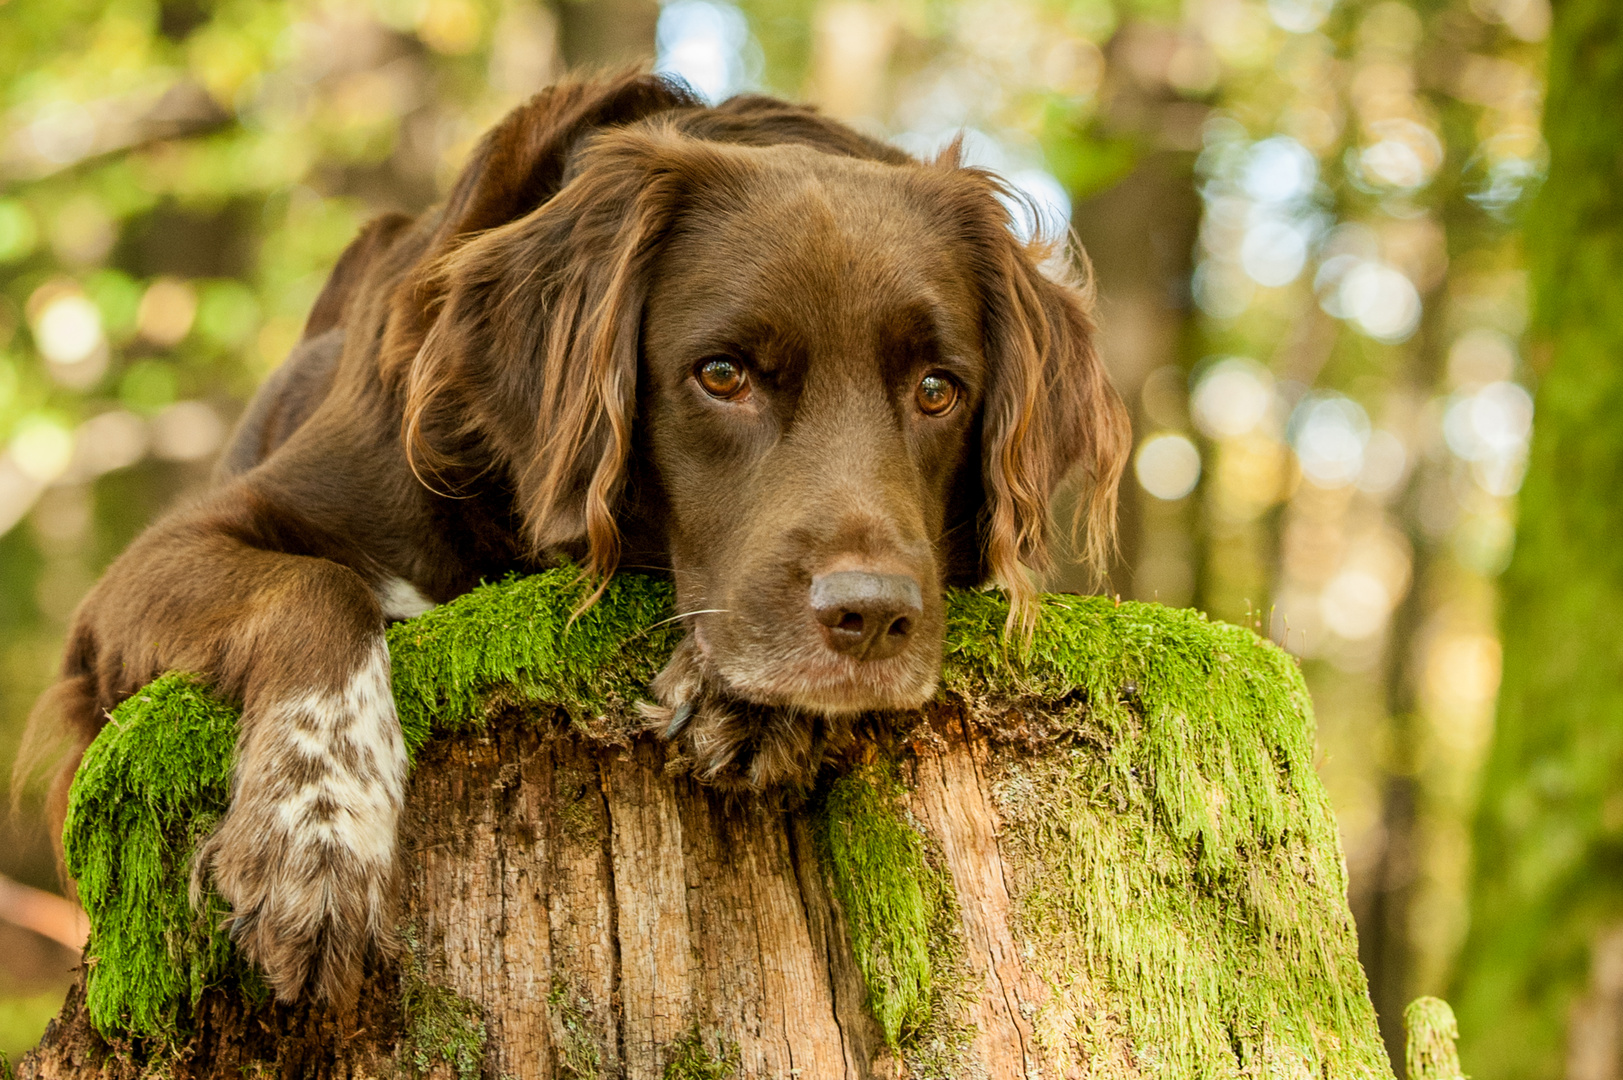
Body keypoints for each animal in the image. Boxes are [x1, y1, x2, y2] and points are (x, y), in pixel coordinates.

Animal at [22, 71, 1129, 1006]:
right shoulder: (160, 564)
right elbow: (318, 589)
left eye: (939, 390)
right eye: (720, 374)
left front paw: (751, 701)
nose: (870, 618)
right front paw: (316, 841)